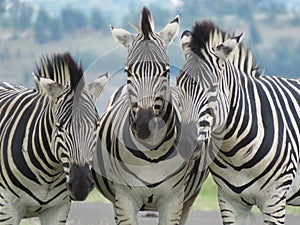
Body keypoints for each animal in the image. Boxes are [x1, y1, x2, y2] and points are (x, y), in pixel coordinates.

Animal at [0, 51, 108, 224]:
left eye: (96, 125)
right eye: (59, 127)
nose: (81, 186)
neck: (49, 173)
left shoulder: (58, 210)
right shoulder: (7, 208)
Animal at [92, 7, 207, 225]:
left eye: (166, 70)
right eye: (128, 71)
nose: (145, 125)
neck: (152, 154)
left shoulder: (173, 200)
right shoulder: (124, 199)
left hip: (189, 198)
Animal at [176, 20, 300, 224]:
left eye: (212, 87)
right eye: (179, 84)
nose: (185, 144)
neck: (234, 152)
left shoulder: (274, 199)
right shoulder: (230, 201)